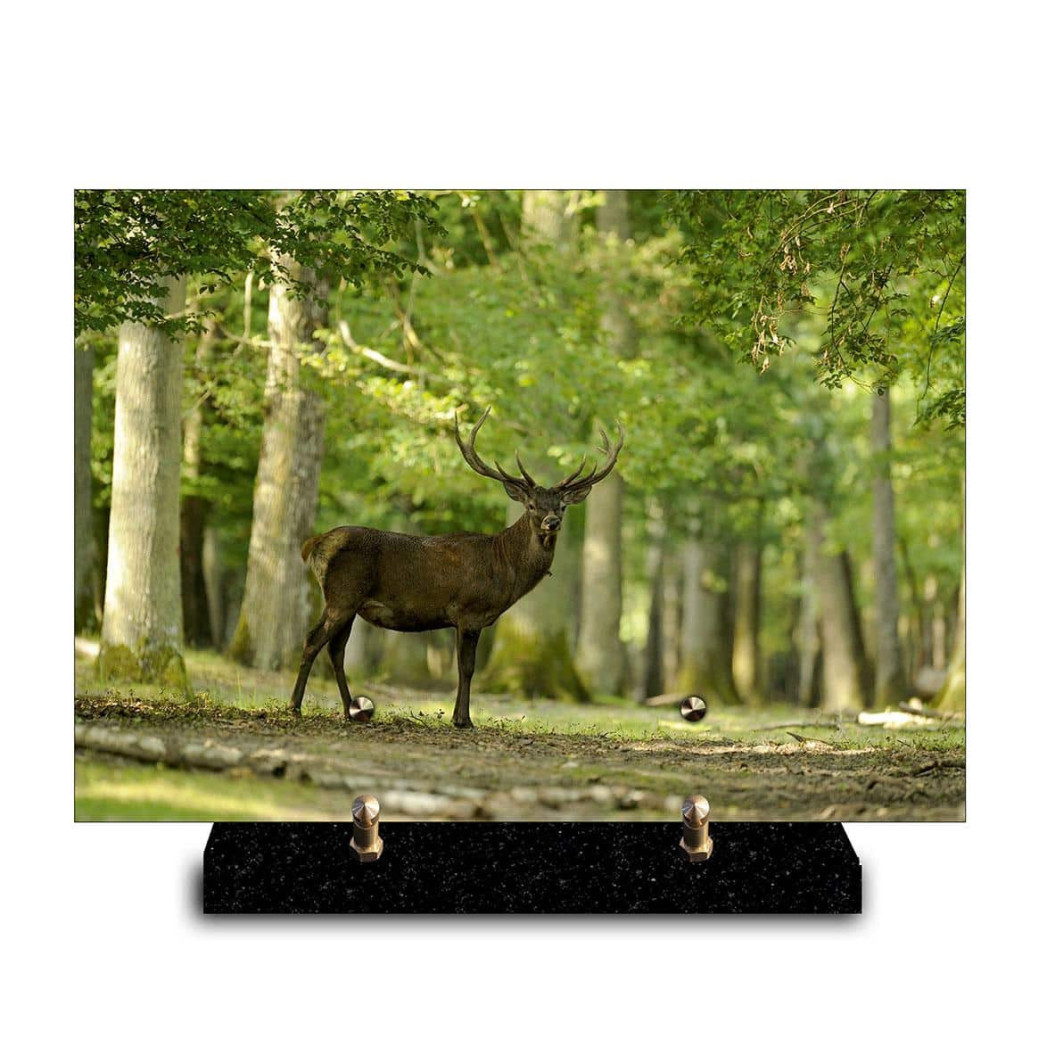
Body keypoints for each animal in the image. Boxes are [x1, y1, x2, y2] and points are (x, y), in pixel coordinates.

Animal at [290, 407, 624, 728]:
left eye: (562, 506)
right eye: (531, 505)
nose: (551, 522)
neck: (506, 568)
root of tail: (315, 544)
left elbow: (463, 668)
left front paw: (457, 717)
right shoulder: (469, 611)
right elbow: (467, 668)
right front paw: (463, 719)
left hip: (350, 603)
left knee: (336, 651)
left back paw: (350, 711)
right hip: (342, 595)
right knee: (312, 640)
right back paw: (295, 707)